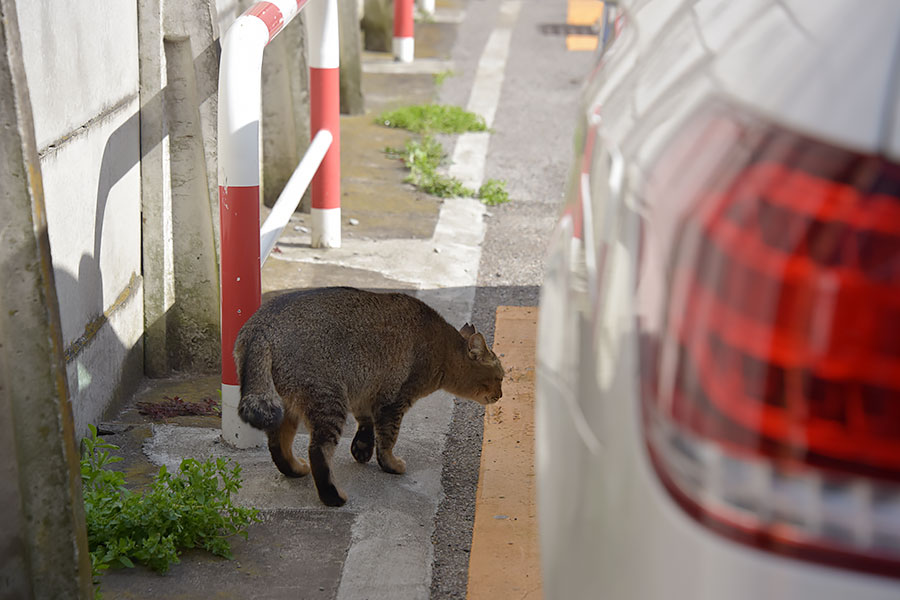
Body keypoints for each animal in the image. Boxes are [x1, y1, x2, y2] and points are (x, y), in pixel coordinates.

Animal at [234, 286, 506, 506]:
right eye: (501, 377)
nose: (501, 395)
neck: (443, 349)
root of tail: (261, 326)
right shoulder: (394, 401)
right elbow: (388, 439)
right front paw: (390, 465)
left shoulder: (366, 392)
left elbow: (366, 425)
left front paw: (362, 449)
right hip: (328, 401)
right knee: (318, 451)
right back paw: (332, 497)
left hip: (290, 404)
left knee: (277, 443)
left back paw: (295, 469)